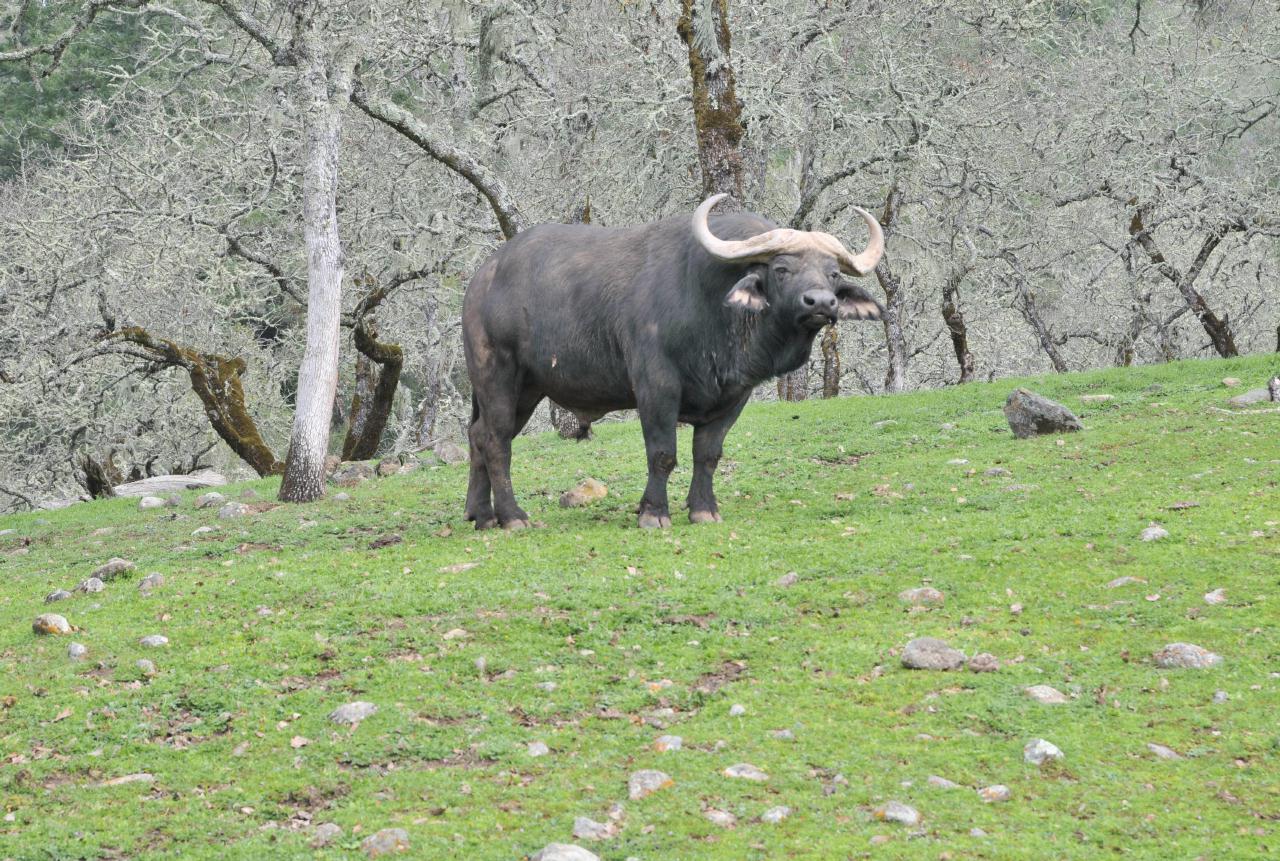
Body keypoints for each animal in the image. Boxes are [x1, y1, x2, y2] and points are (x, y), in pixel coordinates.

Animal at [465, 194, 885, 527]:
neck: (714, 311)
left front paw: (703, 509)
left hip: (527, 389)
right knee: (496, 439)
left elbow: (708, 454)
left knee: (478, 435)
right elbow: (663, 453)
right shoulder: (656, 387)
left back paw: (481, 515)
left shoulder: (734, 396)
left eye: (833, 273)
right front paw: (653, 513)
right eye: (781, 269)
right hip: (497, 374)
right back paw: (512, 517)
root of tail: (482, 277)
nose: (821, 303)